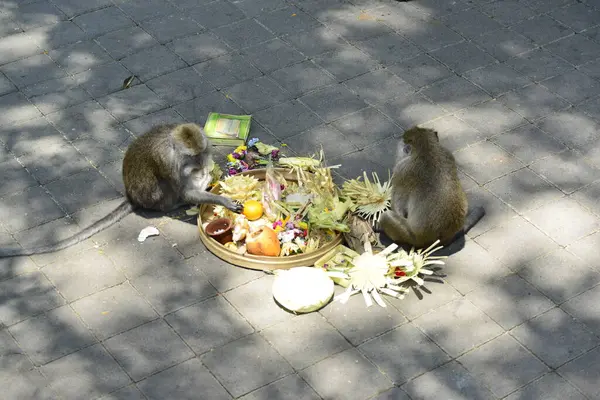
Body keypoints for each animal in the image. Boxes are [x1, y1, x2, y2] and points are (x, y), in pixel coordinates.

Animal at [1, 123, 244, 258]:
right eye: (192, 156)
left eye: (202, 152)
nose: (201, 163)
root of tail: (131, 195)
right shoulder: (170, 162)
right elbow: (183, 188)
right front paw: (220, 197)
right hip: (152, 195)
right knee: (164, 185)